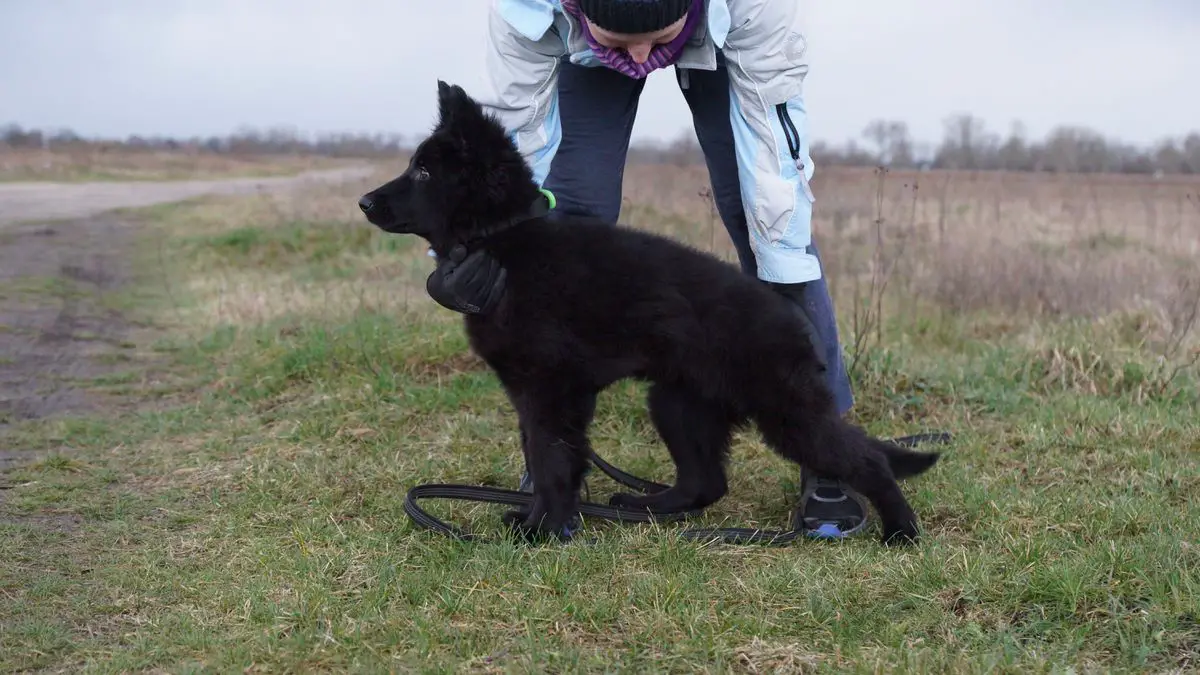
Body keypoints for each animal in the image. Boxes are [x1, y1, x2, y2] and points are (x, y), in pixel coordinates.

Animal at [358, 81, 940, 546]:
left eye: (423, 171)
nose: (364, 202)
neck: (502, 239)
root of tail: (793, 323)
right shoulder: (537, 395)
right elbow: (547, 460)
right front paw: (541, 521)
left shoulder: (550, 391)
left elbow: (551, 462)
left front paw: (543, 531)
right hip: (678, 402)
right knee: (706, 482)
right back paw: (650, 508)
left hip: (783, 411)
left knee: (866, 460)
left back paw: (901, 531)